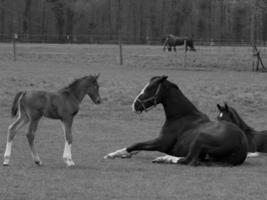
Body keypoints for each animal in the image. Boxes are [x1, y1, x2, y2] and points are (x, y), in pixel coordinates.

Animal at [104, 75, 249, 166]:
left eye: (149, 89)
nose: (134, 105)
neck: (181, 116)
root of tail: (241, 142)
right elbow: (137, 147)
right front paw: (123, 155)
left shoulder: (161, 143)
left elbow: (135, 144)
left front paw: (113, 154)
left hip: (199, 139)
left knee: (187, 160)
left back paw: (165, 158)